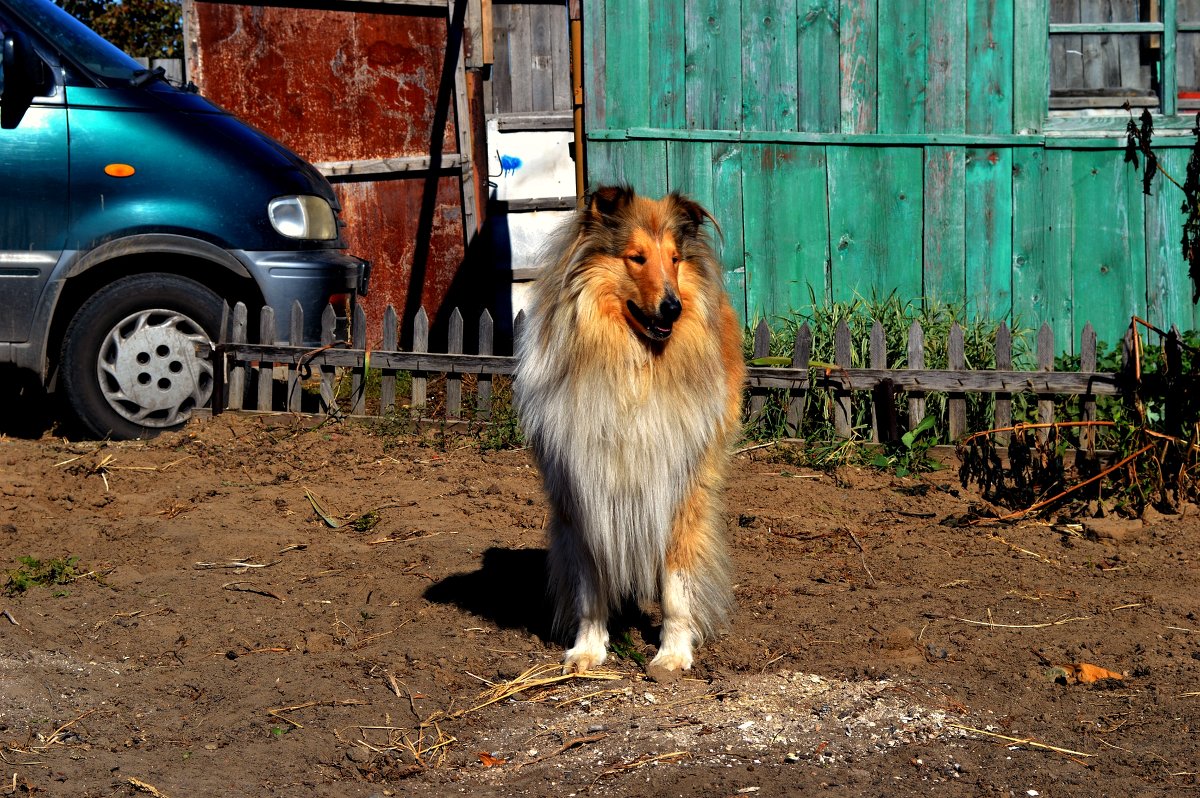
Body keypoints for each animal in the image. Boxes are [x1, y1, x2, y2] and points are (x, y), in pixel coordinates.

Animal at [513, 184, 744, 672]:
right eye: (636, 257)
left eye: (674, 258)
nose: (673, 308)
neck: (633, 367)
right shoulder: (584, 492)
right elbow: (589, 587)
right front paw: (587, 649)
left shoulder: (679, 489)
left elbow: (676, 585)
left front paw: (672, 654)